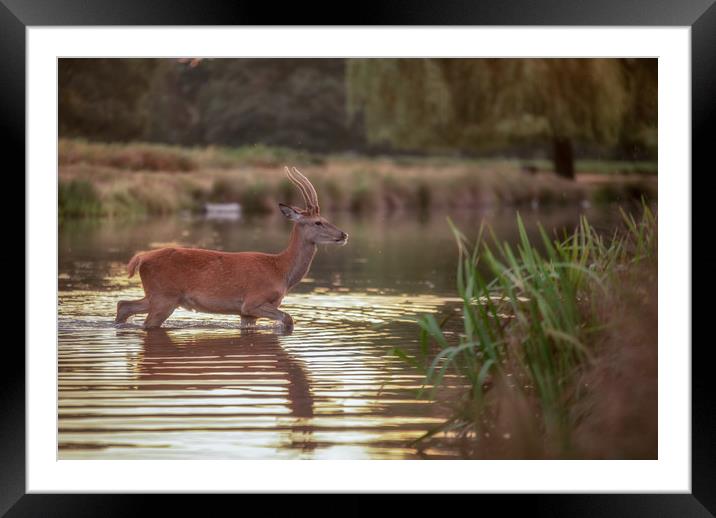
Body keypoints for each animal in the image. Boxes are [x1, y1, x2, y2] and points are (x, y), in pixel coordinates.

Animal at [113, 169, 348, 336]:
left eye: (325, 218)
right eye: (318, 222)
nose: (343, 234)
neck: (281, 270)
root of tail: (142, 257)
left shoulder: (246, 313)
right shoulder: (253, 301)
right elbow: (288, 320)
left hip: (157, 295)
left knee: (123, 305)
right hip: (164, 297)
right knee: (145, 321)